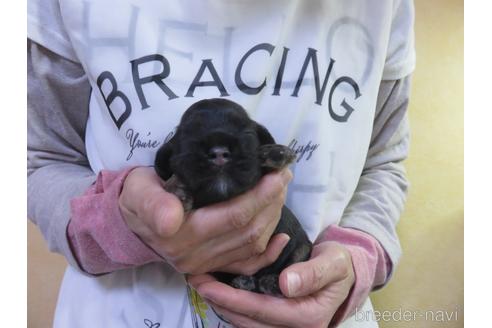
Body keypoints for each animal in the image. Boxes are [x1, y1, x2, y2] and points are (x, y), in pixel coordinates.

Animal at [156, 98, 314, 296]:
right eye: (188, 135)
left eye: (247, 133)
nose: (219, 153)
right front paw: (178, 187)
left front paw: (275, 153)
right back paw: (245, 281)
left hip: (303, 246)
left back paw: (271, 281)